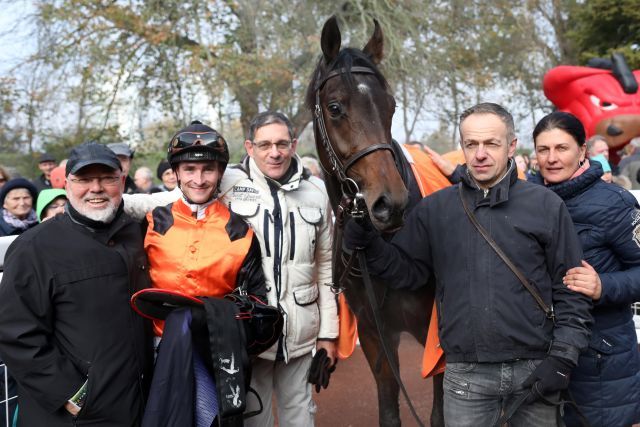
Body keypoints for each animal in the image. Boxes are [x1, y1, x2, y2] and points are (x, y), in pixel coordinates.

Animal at [304, 15, 444, 426]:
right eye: (335, 107)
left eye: (391, 106)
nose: (390, 204)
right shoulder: (374, 333)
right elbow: (389, 409)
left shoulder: (436, 335)